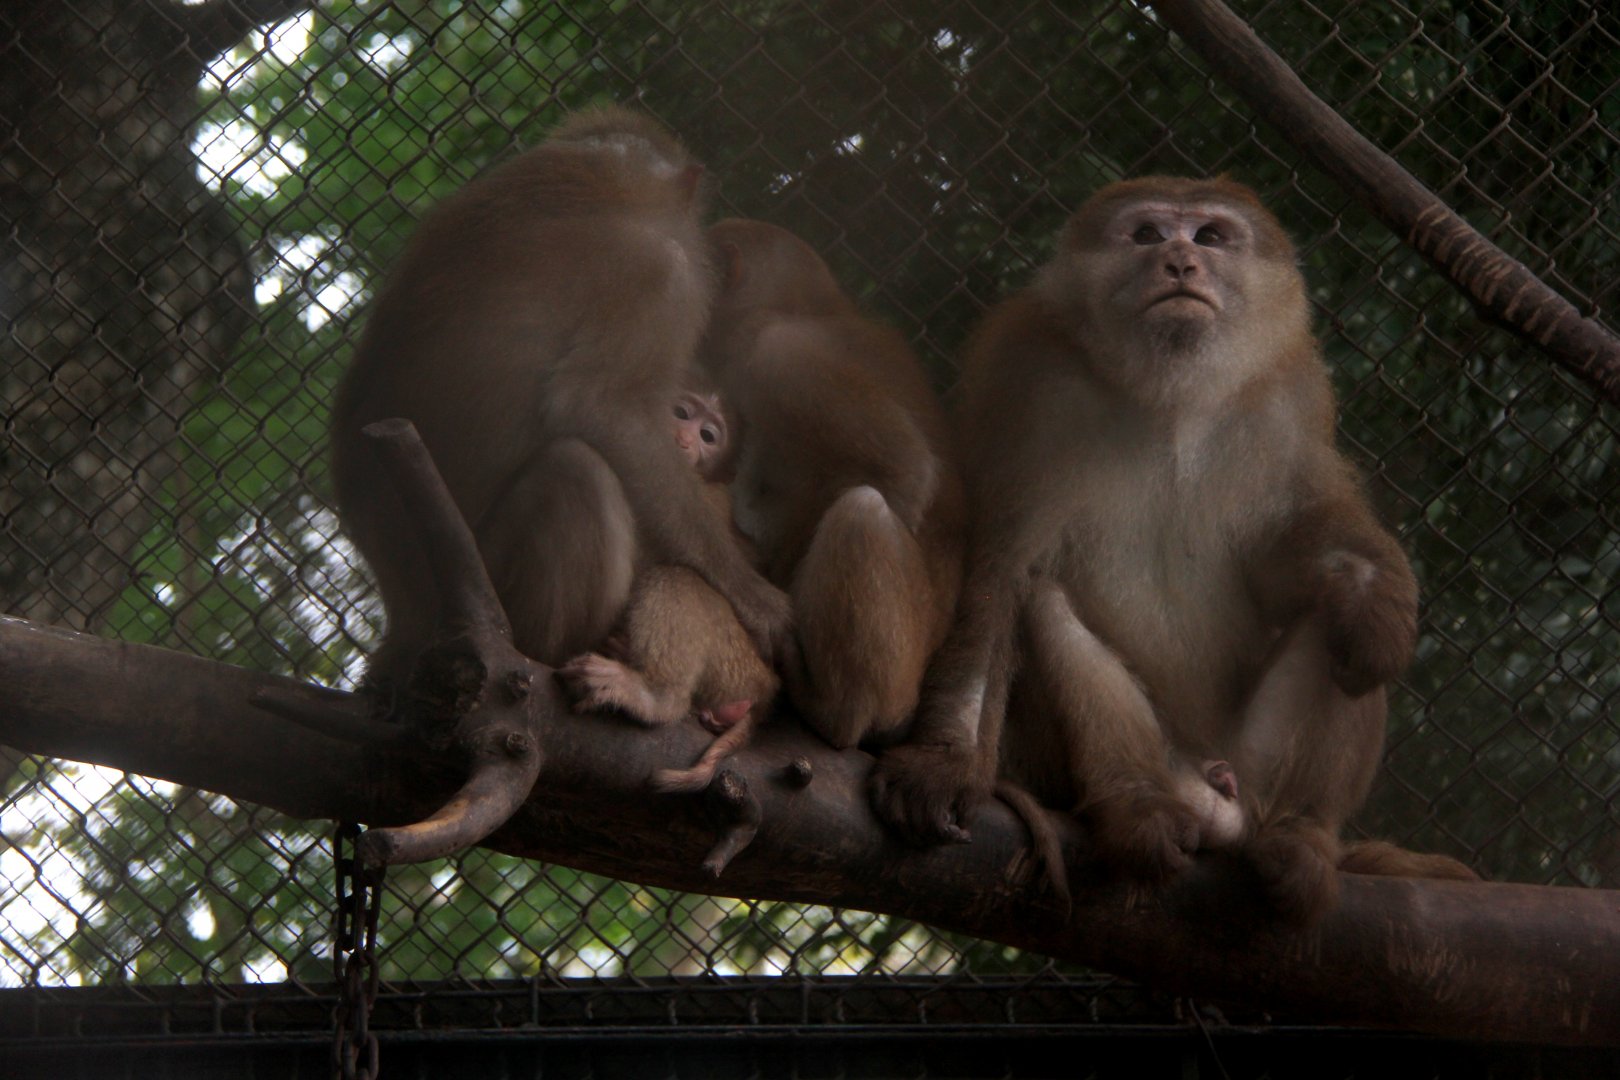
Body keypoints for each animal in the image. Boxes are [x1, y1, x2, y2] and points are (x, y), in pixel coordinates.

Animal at [329, 107, 792, 698]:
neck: (591, 184)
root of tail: (404, 617)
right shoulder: (665, 275)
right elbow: (598, 408)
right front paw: (755, 598)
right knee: (575, 472)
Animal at [559, 385, 778, 794]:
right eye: (681, 412)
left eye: (708, 435)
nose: (684, 439)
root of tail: (768, 686)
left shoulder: (703, 495)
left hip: (735, 664)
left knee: (676, 579)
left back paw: (655, 698)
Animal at [698, 218, 965, 752]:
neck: (802, 305)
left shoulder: (779, 355)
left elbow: (906, 473)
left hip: (899, 675)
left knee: (863, 512)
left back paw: (834, 713)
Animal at [872, 177, 1476, 922]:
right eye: (1149, 234)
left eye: (1211, 237)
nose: (1181, 263)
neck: (1169, 394)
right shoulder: (1026, 379)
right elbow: (1001, 570)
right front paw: (943, 761)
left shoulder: (1290, 393)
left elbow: (1295, 557)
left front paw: (1370, 586)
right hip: (1133, 766)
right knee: (1045, 601)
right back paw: (1138, 807)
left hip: (1251, 764)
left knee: (1340, 636)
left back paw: (1301, 834)